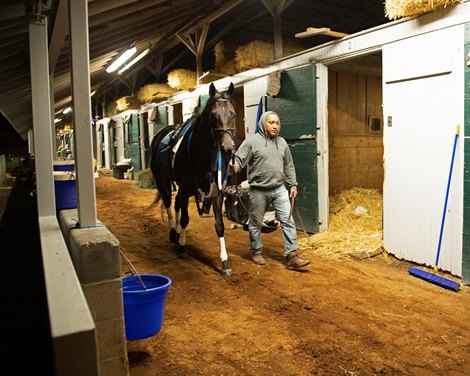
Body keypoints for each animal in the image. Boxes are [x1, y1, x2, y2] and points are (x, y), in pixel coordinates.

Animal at [150, 82, 237, 276]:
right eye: (213, 115)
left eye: (233, 114)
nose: (228, 148)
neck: (202, 155)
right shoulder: (185, 188)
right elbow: (185, 219)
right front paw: (183, 247)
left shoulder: (216, 191)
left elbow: (219, 225)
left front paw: (225, 262)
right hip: (163, 181)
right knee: (169, 203)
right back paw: (173, 233)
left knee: (176, 204)